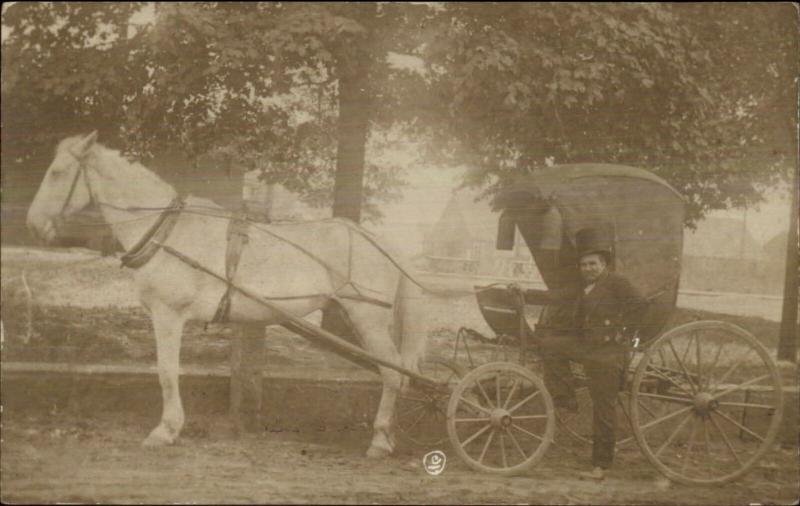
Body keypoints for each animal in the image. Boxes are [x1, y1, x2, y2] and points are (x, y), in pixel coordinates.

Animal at [28, 131, 432, 458]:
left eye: (58, 173)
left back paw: (380, 440)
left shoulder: (168, 314)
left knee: (392, 373)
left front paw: (166, 430)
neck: (167, 230)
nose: (32, 224)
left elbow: (167, 371)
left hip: (368, 318)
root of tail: (378, 240)